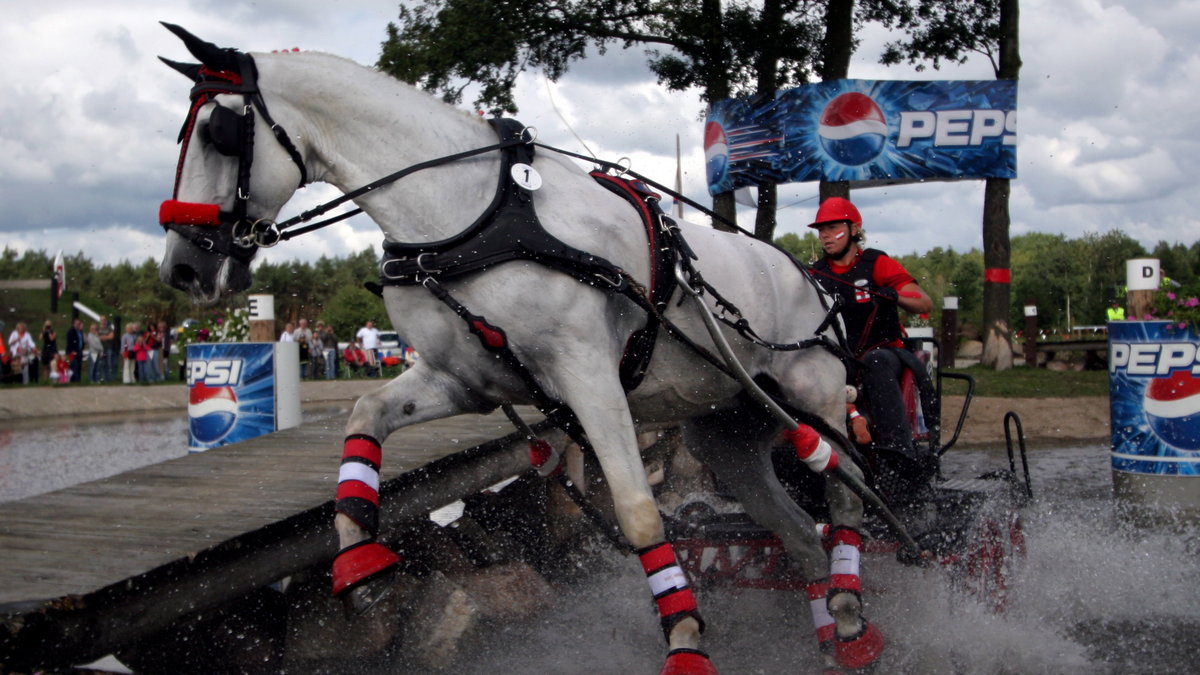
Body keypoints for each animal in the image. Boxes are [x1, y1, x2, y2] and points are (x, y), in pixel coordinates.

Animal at [159, 23, 888, 667]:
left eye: (217, 133)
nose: (182, 268)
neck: (474, 214)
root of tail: (813, 280)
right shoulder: (464, 378)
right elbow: (365, 415)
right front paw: (359, 560)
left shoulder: (590, 375)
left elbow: (639, 514)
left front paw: (685, 644)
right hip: (728, 435)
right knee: (800, 537)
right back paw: (832, 635)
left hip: (814, 396)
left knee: (846, 494)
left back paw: (853, 614)